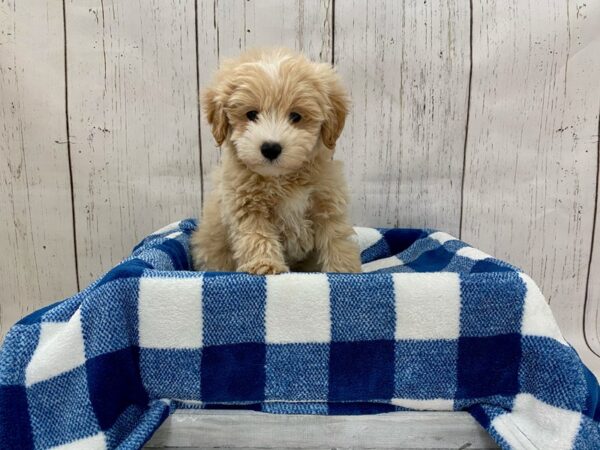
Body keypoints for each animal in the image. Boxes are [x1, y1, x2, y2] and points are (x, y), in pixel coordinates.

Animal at [192, 49, 360, 274]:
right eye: (251, 114)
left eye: (295, 116)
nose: (271, 148)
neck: (283, 178)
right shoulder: (246, 205)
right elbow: (257, 236)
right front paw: (265, 265)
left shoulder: (327, 201)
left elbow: (337, 238)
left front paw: (343, 270)